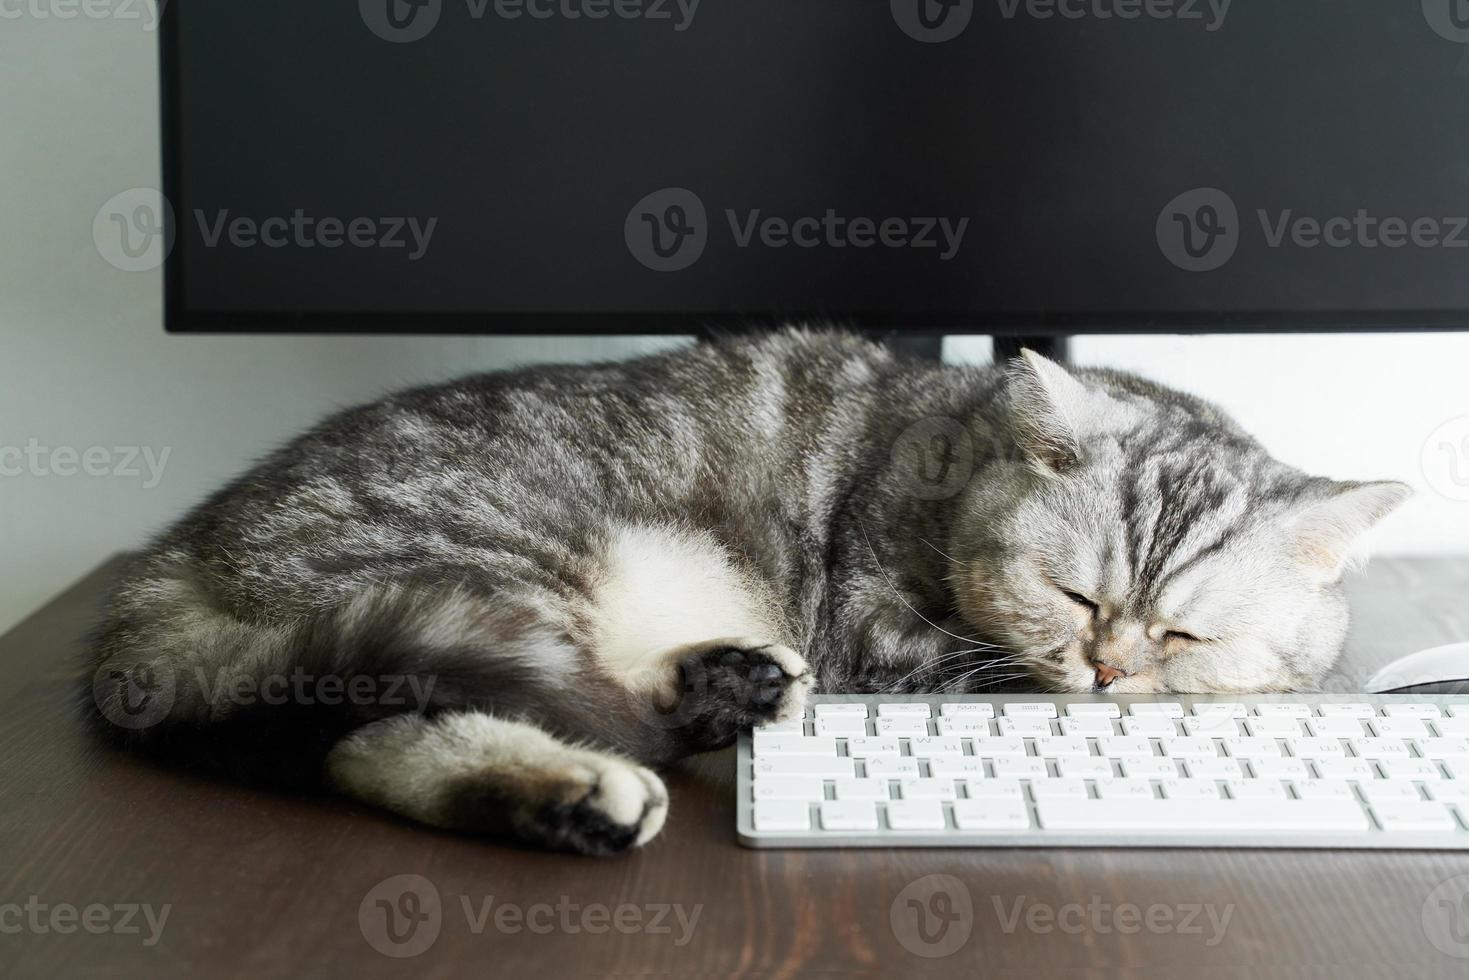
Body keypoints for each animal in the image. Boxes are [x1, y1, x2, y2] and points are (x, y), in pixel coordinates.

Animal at [83, 329, 1410, 852]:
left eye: (1183, 632)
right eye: (1075, 599)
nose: (1108, 669)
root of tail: (171, 557)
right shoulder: (881, 631)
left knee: (370, 745)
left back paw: (628, 756)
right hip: (501, 561)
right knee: (454, 715)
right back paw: (622, 760)